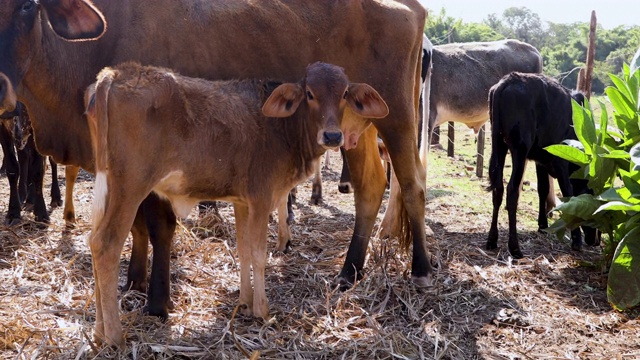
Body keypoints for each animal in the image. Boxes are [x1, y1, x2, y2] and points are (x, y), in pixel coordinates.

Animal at [83, 62, 388, 346]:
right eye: (310, 94)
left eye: (344, 94)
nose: (333, 136)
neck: (282, 129)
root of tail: (115, 74)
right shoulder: (261, 197)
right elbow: (258, 254)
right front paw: (262, 310)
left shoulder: (242, 202)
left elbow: (243, 250)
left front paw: (245, 301)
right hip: (130, 188)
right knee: (106, 245)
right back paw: (114, 336)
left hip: (109, 187)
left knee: (94, 241)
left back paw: (98, 332)